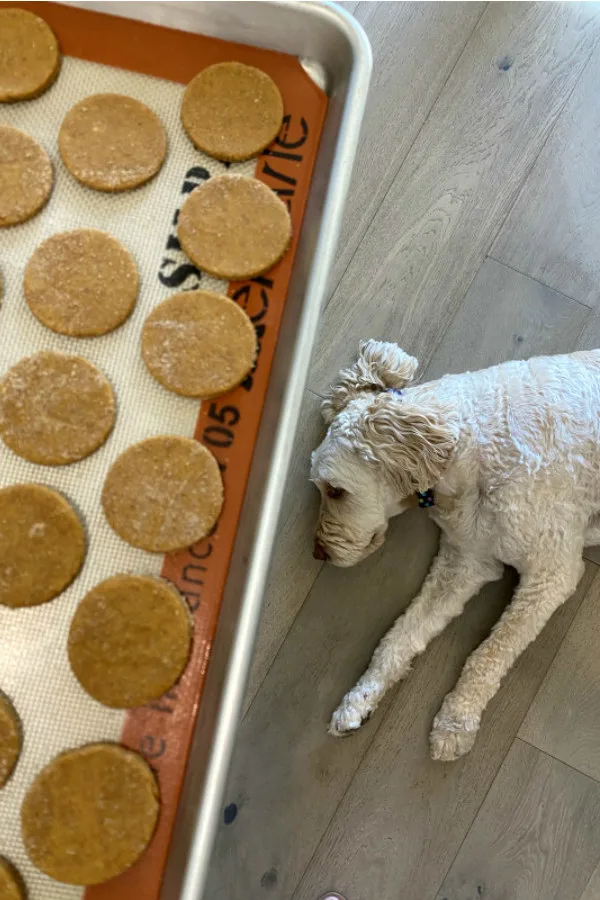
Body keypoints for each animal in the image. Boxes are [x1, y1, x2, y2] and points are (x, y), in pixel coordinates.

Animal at [312, 342, 600, 764]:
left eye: (335, 491)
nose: (318, 552)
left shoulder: (552, 571)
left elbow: (489, 654)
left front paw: (456, 722)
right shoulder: (465, 561)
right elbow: (399, 637)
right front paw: (359, 700)